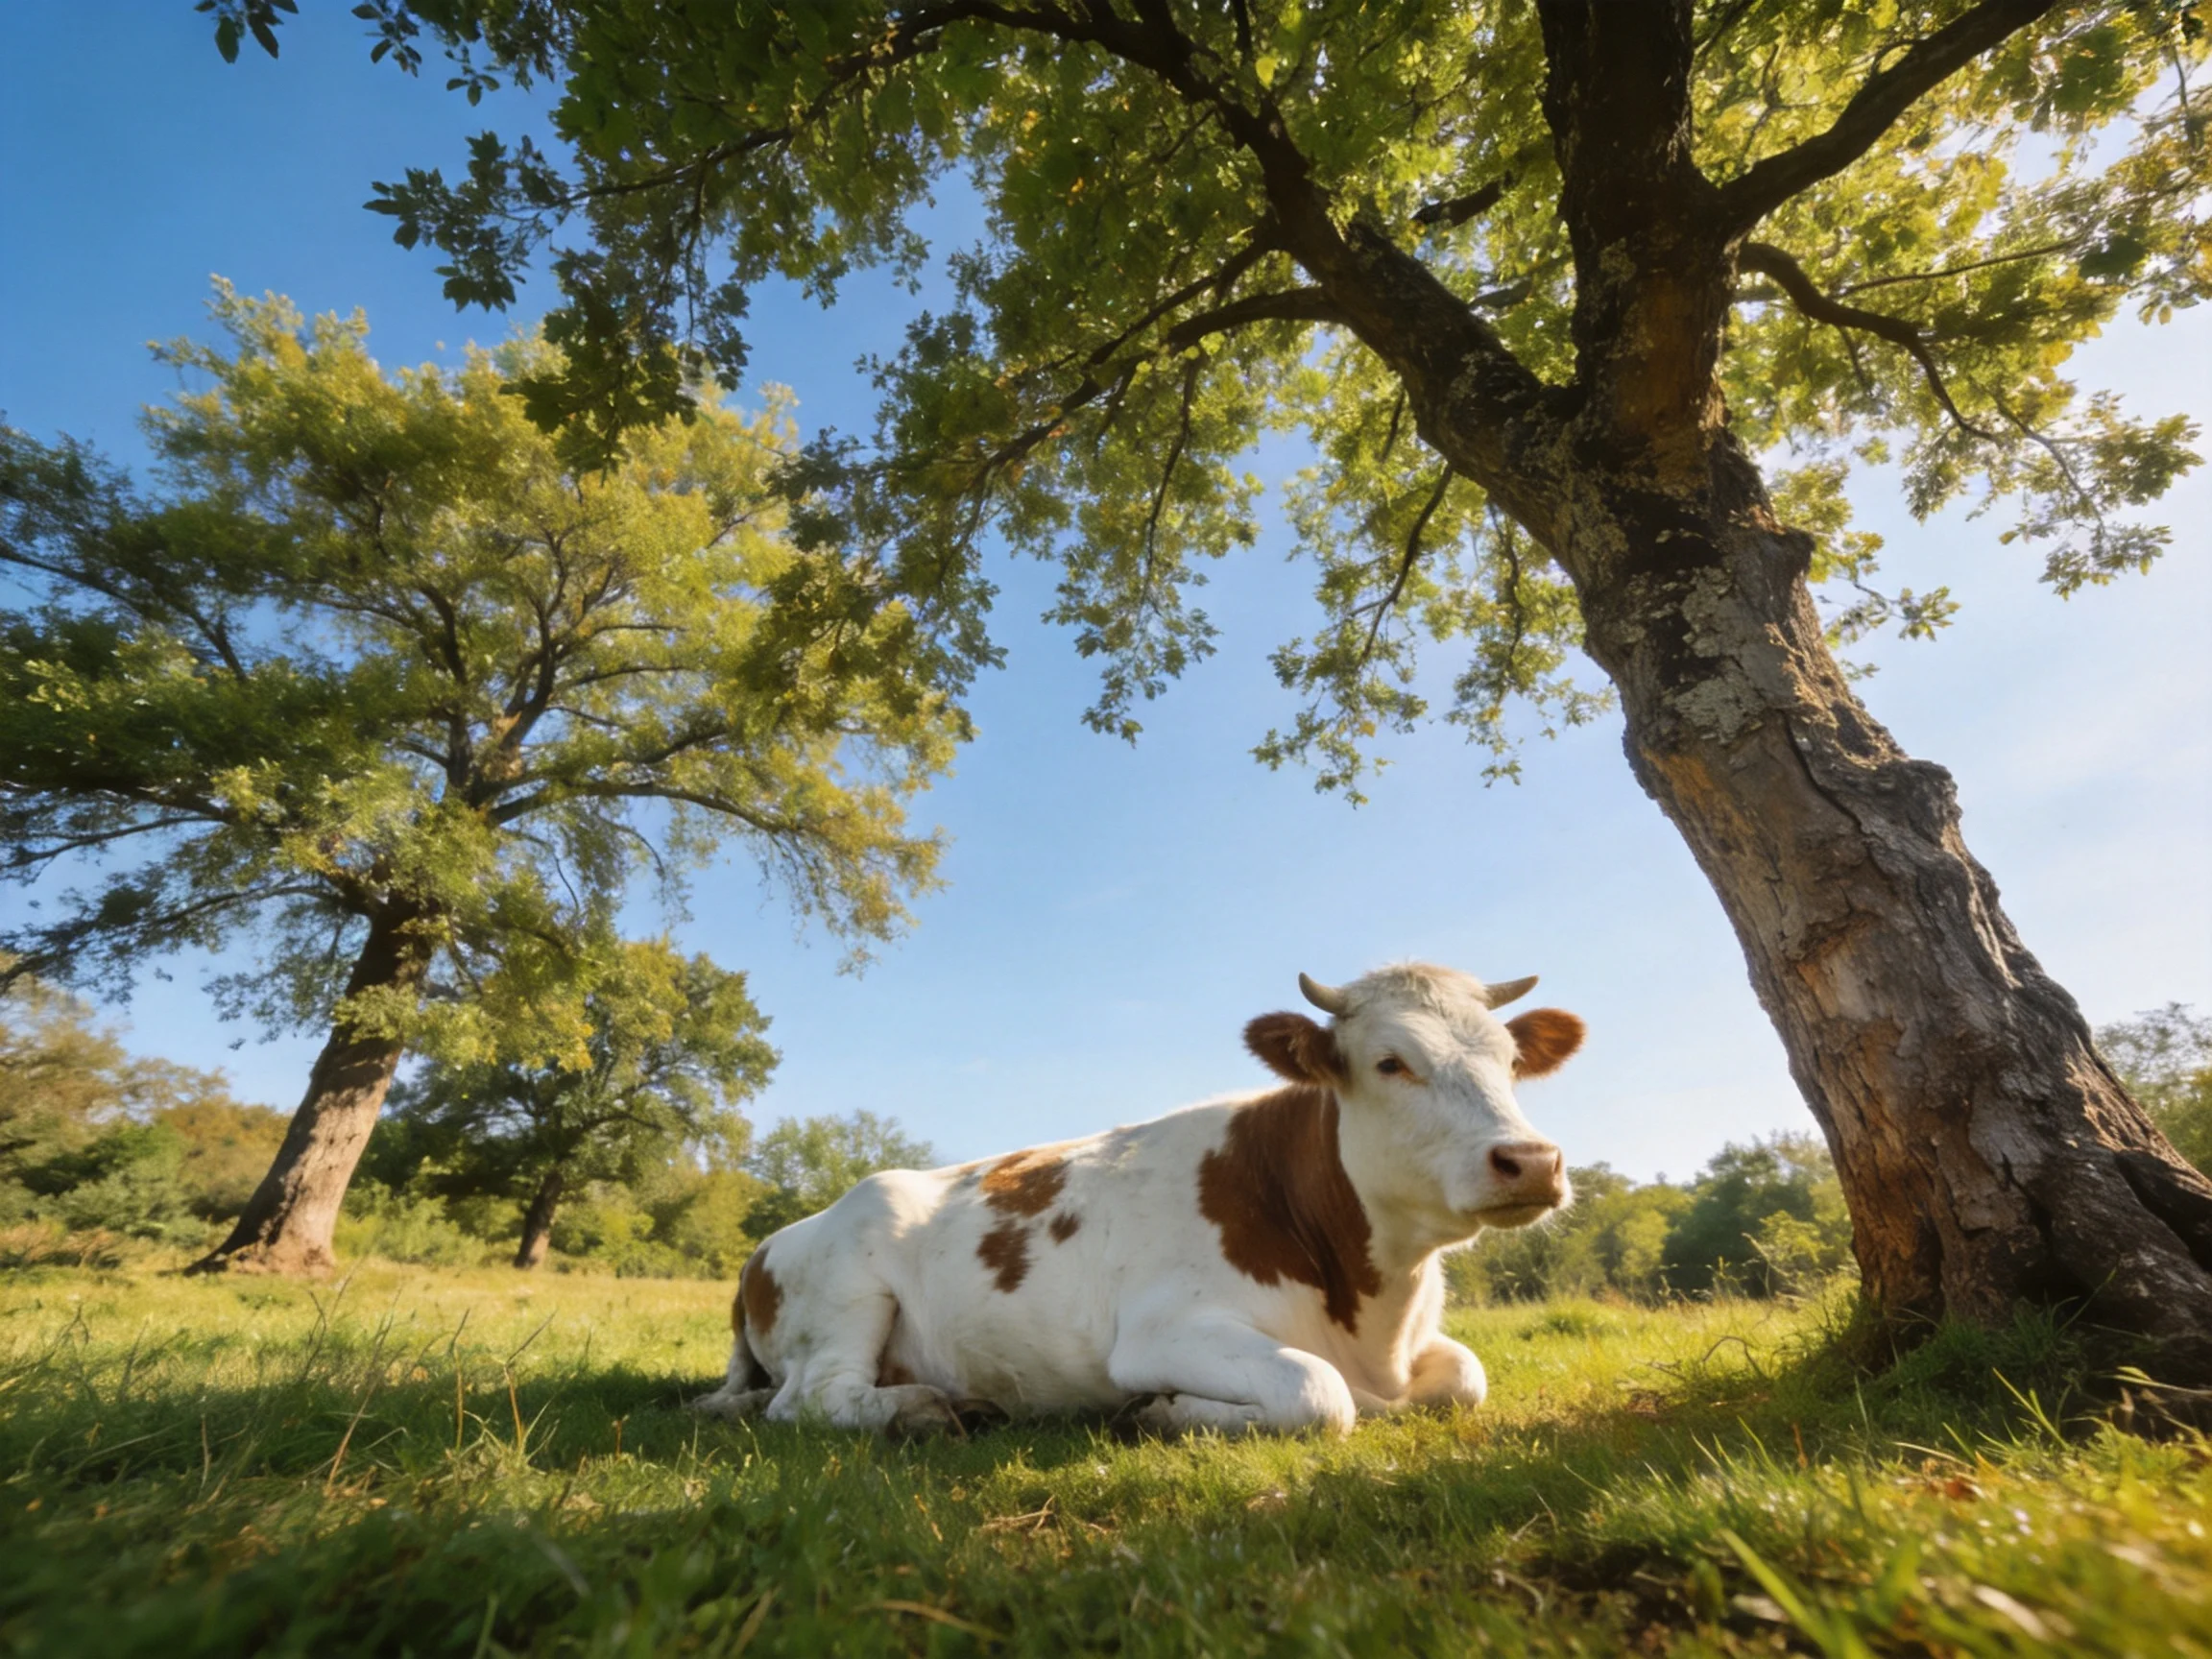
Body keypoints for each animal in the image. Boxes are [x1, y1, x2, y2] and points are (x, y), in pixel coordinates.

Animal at [690, 963, 1583, 1436]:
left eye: (1511, 1062)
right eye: (1390, 1063)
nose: (1531, 1161)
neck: (1374, 1309)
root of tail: (773, 1242)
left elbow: (1466, 1376)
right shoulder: (1166, 1332)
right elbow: (1319, 1394)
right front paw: (1159, 1409)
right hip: (849, 1287)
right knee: (813, 1399)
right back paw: (930, 1406)